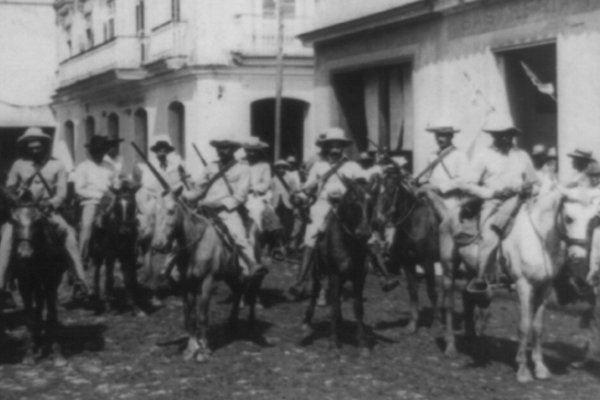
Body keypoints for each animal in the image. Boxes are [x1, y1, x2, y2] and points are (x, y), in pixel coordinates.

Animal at [88, 183, 140, 314]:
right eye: (117, 205)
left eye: (133, 204)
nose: (124, 230)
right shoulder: (109, 255)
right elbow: (109, 278)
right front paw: (108, 306)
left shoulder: (129, 255)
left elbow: (129, 279)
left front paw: (133, 306)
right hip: (98, 255)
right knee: (96, 273)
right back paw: (95, 298)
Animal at [302, 177, 372, 352]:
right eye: (353, 201)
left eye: (371, 202)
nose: (364, 233)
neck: (348, 243)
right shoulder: (334, 275)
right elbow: (333, 306)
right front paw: (334, 342)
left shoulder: (359, 277)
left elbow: (358, 307)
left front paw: (362, 343)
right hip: (317, 272)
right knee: (315, 292)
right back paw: (307, 321)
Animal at [376, 170, 440, 332]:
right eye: (377, 190)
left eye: (391, 189)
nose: (378, 220)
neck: (414, 225)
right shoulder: (408, 263)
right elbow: (412, 291)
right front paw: (412, 324)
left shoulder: (428, 262)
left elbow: (431, 291)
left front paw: (436, 324)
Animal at [436, 189, 568, 382]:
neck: (539, 237)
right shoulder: (524, 286)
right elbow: (524, 326)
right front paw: (523, 370)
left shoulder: (545, 287)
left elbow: (538, 327)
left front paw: (541, 368)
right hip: (448, 268)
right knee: (449, 305)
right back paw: (451, 347)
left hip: (472, 270)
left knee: (469, 299)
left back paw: (472, 342)